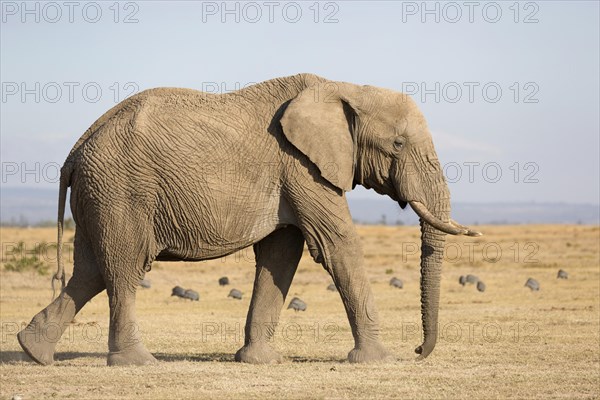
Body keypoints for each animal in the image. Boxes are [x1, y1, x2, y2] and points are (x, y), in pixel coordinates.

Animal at [16, 73, 480, 368]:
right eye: (397, 144)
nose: (418, 351)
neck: (344, 87)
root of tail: (74, 152)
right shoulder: (302, 166)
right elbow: (336, 244)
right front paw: (378, 361)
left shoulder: (293, 173)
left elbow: (282, 254)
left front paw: (260, 361)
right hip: (120, 192)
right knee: (124, 269)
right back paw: (137, 363)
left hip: (99, 195)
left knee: (90, 271)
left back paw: (34, 352)